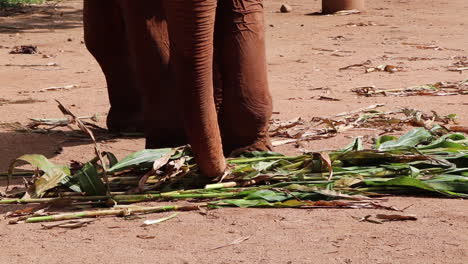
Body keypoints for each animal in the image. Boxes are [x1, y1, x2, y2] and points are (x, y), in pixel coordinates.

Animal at [83, 0, 272, 178]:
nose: (225, 167)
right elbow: (146, 26)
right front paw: (166, 148)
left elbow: (243, 16)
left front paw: (250, 151)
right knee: (101, 35)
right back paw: (132, 126)